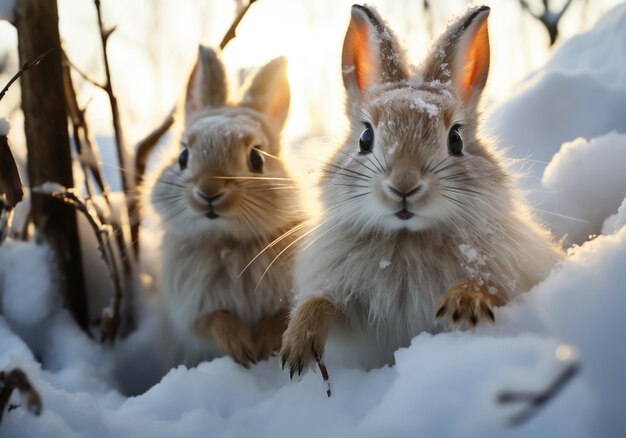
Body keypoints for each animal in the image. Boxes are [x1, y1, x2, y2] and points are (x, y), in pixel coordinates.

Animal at [147, 46, 302, 368]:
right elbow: (215, 319)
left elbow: (278, 318)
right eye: (183, 157)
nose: (208, 192)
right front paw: (240, 348)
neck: (230, 244)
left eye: (257, 159)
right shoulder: (192, 309)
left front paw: (263, 344)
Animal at [280, 3, 560, 374]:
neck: (406, 239)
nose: (404, 185)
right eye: (365, 138)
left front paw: (463, 304)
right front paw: (296, 348)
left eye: (455, 140)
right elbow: (320, 302)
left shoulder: (514, 273)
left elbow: (490, 283)